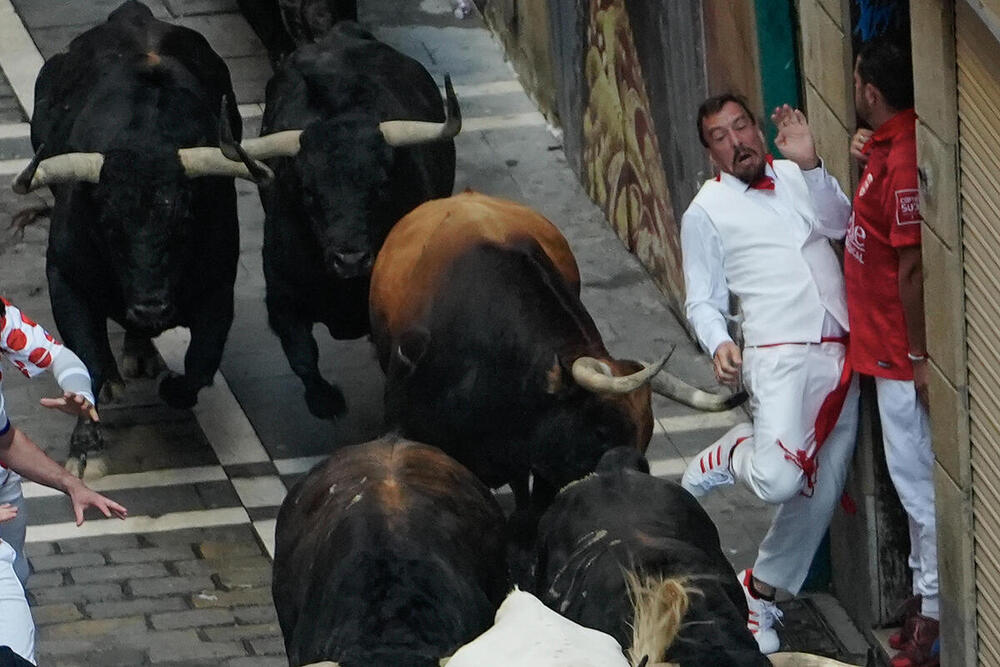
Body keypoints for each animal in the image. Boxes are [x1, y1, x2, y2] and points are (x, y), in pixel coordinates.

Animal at [13, 0, 272, 474]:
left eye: (185, 223)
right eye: (108, 225)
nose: (151, 307)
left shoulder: (218, 285)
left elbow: (201, 363)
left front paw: (171, 387)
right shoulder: (65, 277)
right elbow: (89, 361)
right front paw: (85, 447)